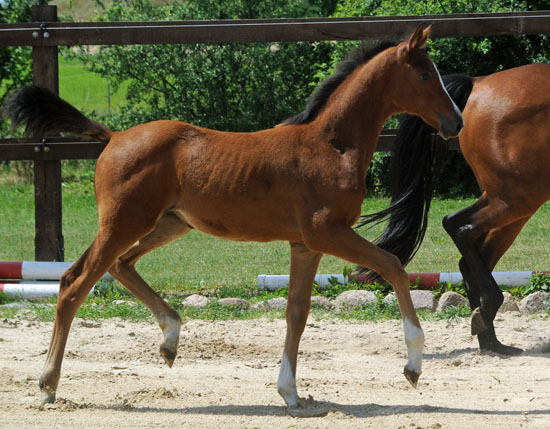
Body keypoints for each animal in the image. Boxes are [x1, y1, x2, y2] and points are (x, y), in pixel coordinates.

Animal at [3, 25, 466, 406]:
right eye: (426, 75)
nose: (456, 122)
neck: (332, 145)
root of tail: (113, 136)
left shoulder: (305, 244)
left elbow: (297, 312)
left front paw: (289, 392)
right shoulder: (327, 232)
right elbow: (393, 265)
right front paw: (413, 366)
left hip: (167, 224)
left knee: (120, 265)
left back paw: (170, 338)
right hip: (123, 223)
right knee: (74, 283)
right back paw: (47, 385)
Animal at [360, 63, 550, 356]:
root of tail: (478, 82)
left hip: (512, 201)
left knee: (472, 253)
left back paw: (491, 340)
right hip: (517, 197)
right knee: (456, 225)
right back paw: (488, 312)